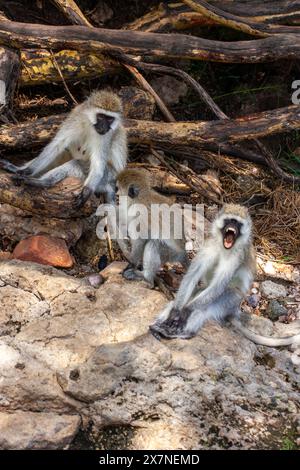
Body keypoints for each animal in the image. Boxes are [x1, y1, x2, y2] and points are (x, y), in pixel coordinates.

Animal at [151, 204, 300, 346]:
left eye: (238, 223)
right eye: (229, 220)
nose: (232, 227)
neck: (224, 248)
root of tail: (234, 310)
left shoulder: (237, 256)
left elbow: (218, 285)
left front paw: (185, 312)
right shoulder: (209, 245)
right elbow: (192, 276)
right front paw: (176, 312)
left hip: (230, 300)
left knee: (203, 309)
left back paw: (185, 332)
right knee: (183, 299)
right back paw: (159, 326)